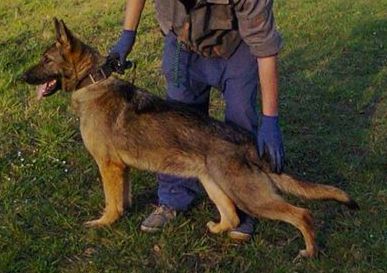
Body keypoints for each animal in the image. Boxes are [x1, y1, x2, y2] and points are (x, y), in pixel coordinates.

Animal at [22, 19, 360, 258]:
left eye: (46, 59)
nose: (21, 77)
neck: (92, 82)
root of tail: (249, 142)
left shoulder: (108, 166)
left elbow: (110, 203)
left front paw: (104, 223)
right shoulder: (120, 169)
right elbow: (122, 198)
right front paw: (123, 213)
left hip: (247, 193)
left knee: (301, 214)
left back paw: (310, 252)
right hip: (214, 184)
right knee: (231, 217)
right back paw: (217, 228)